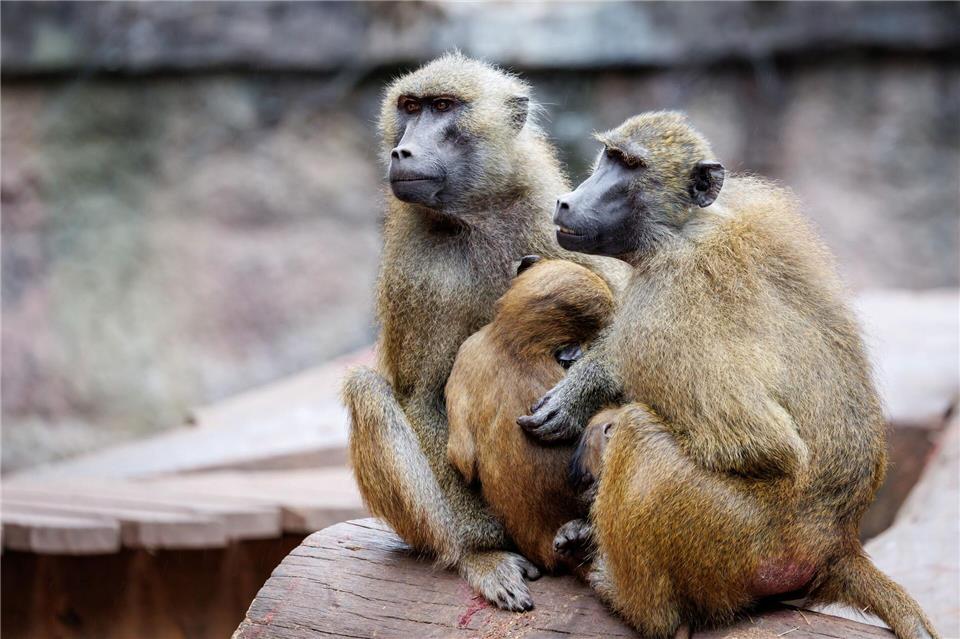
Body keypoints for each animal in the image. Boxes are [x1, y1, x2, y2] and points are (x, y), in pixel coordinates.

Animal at [517, 111, 939, 638]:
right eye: (608, 156)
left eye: (629, 165)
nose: (567, 200)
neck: (683, 230)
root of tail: (837, 544)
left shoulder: (665, 308)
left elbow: (760, 444)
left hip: (743, 541)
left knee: (637, 434)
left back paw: (625, 597)